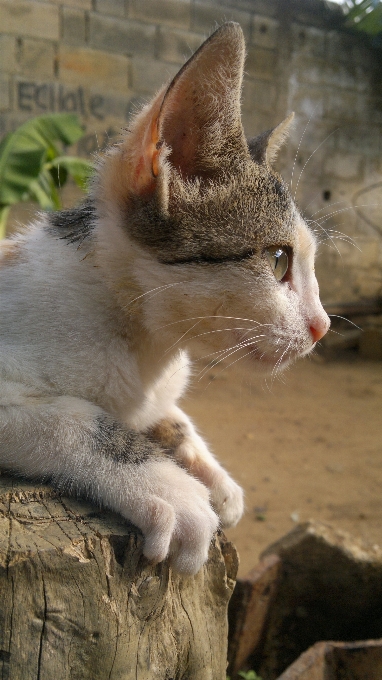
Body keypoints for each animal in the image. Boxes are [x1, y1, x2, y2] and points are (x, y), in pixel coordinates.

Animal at [0, 22, 328, 572]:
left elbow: (168, 415)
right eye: (280, 260)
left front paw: (211, 474)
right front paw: (173, 490)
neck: (146, 345)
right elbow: (75, 417)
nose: (322, 326)